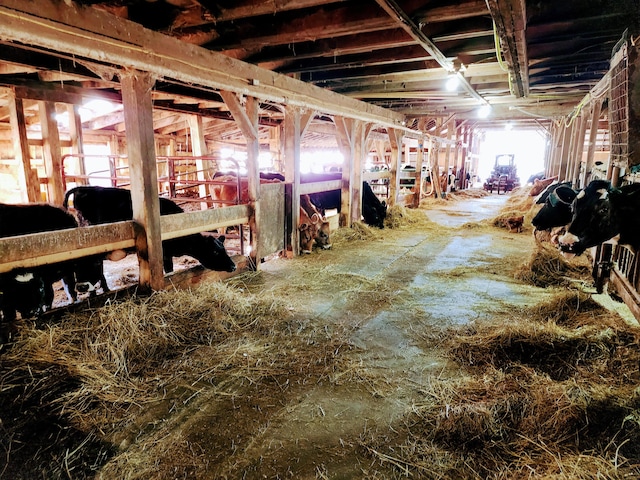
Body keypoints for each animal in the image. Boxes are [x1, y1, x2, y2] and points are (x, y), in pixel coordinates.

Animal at [62, 185, 236, 274]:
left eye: (225, 249)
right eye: (215, 251)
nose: (233, 266)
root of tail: (83, 188)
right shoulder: (164, 254)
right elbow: (169, 270)